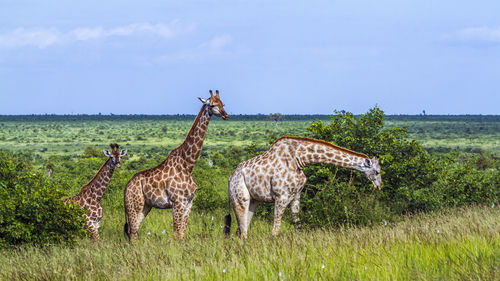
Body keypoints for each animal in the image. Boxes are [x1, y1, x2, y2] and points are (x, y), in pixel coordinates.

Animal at [123, 90, 229, 241]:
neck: (188, 165)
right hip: (134, 205)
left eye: (222, 104)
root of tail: (126, 187)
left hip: (145, 206)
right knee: (132, 232)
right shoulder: (177, 202)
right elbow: (176, 233)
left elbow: (182, 233)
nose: (226, 115)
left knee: (135, 231)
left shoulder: (189, 202)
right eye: (213, 105)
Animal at [224, 137, 382, 237]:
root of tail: (230, 178)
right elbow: (275, 231)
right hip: (240, 198)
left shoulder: (295, 196)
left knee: (241, 230)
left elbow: (297, 226)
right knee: (243, 231)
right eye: (377, 171)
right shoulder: (281, 196)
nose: (379, 186)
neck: (299, 160)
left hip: (254, 201)